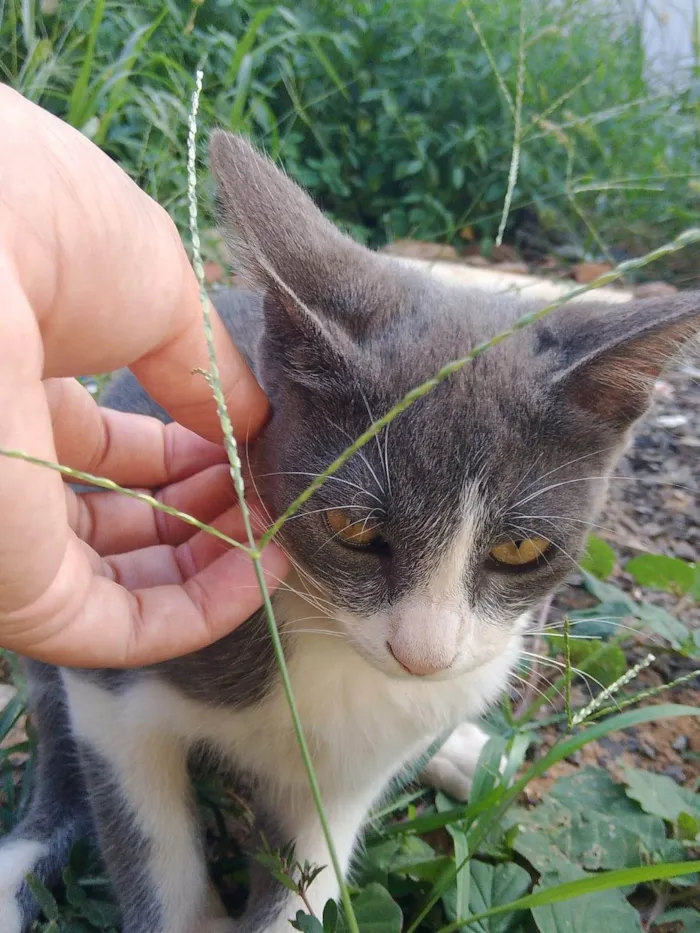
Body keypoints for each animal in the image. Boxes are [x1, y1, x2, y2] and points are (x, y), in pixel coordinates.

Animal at [1, 133, 700, 932]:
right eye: (353, 528)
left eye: (518, 548)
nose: (422, 655)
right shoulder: (110, 698)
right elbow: (147, 835)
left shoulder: (346, 775)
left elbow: (310, 885)